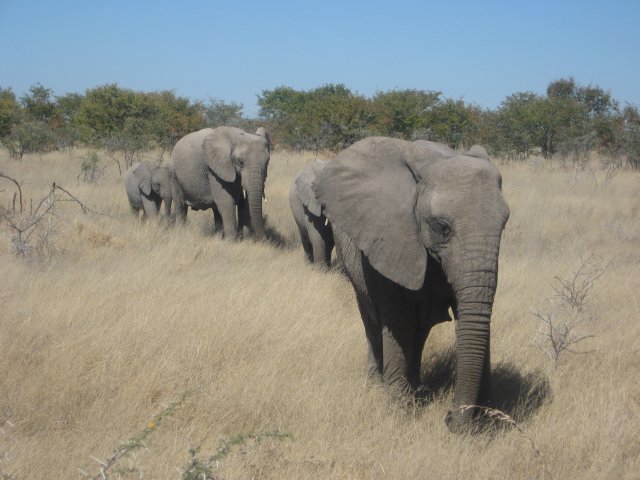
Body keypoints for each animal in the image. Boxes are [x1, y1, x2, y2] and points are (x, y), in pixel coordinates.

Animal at [312, 137, 510, 434]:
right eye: (442, 227)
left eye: (504, 224)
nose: (449, 419)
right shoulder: (386, 241)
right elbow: (398, 320)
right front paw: (397, 412)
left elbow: (469, 317)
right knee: (372, 319)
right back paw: (378, 385)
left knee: (419, 330)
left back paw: (416, 387)